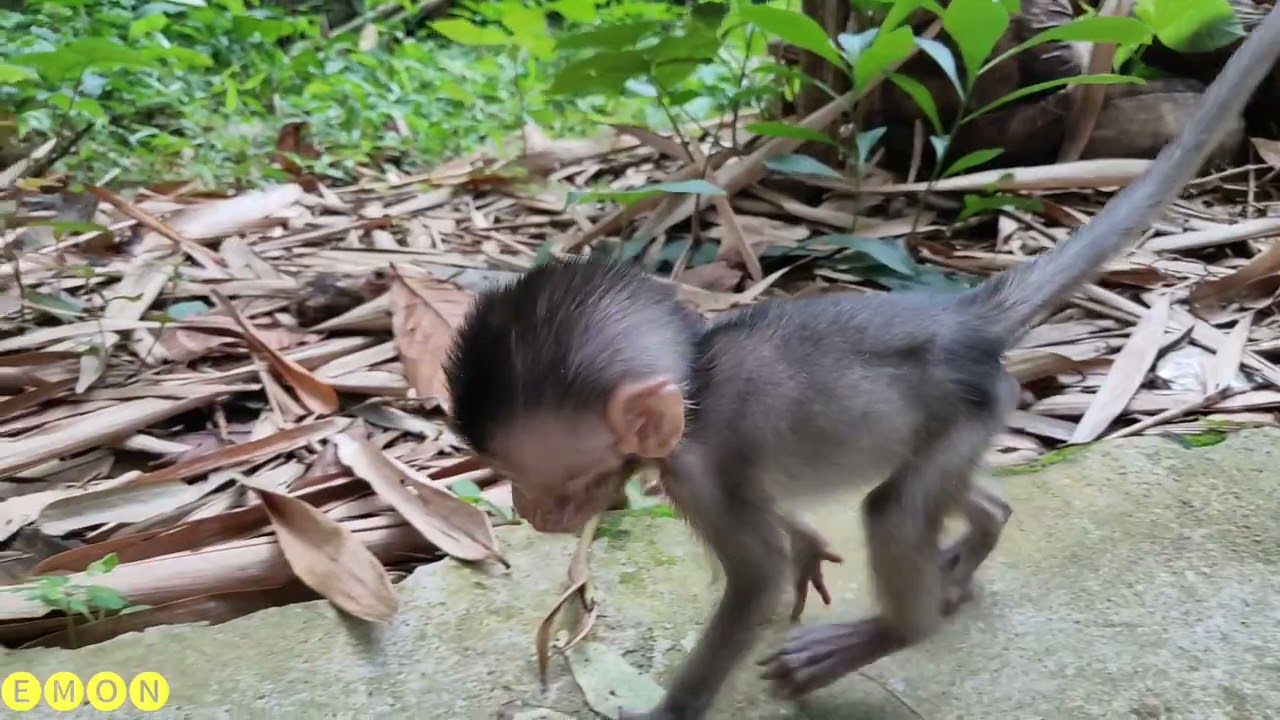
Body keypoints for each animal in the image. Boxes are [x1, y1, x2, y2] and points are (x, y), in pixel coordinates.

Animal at [441, 9, 1280, 719]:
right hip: (973, 414)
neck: (695, 379)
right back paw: (971, 545)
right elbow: (783, 531)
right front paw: (810, 546)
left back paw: (894, 630)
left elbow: (755, 582)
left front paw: (674, 707)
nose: (529, 511)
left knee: (893, 507)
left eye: (554, 481)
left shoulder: (701, 470)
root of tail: (959, 317)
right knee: (947, 493)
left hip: (969, 406)